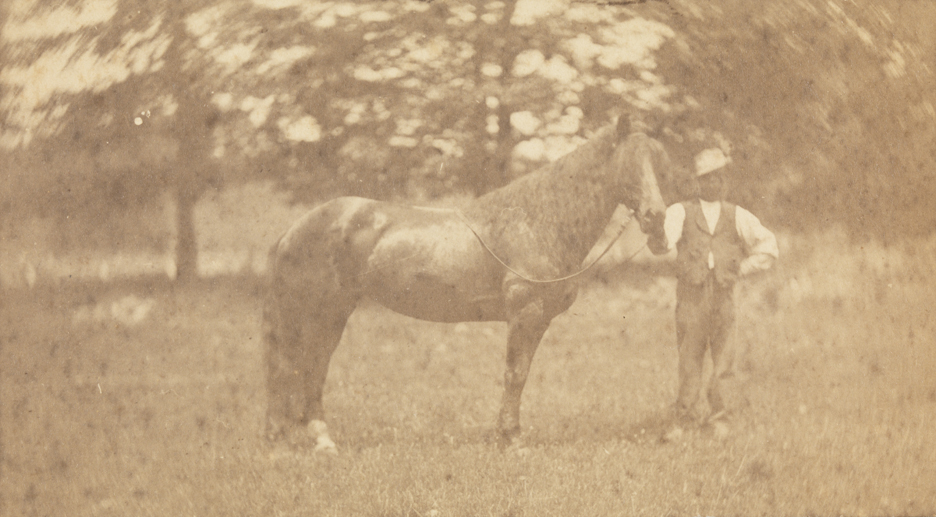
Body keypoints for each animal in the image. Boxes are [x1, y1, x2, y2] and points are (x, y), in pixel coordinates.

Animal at [263, 117, 678, 452]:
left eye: (659, 163)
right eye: (628, 163)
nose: (656, 218)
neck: (538, 219)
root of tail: (293, 230)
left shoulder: (539, 320)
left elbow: (521, 375)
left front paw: (505, 435)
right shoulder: (524, 313)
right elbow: (515, 374)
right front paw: (512, 440)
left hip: (332, 315)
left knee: (306, 368)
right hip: (316, 313)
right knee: (295, 367)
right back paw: (306, 440)